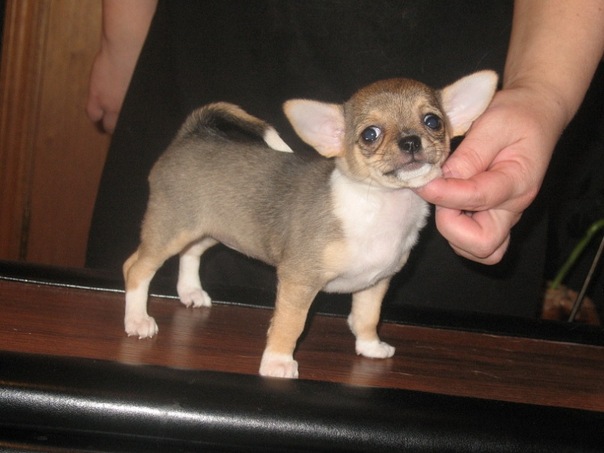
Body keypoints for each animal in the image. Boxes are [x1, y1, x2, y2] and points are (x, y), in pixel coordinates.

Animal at [123, 70, 497, 378]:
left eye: (433, 121)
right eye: (370, 134)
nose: (410, 141)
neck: (382, 207)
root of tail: (190, 136)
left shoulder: (376, 283)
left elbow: (367, 317)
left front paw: (369, 346)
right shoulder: (299, 281)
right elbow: (290, 325)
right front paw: (277, 362)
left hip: (210, 229)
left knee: (190, 253)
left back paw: (190, 292)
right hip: (171, 229)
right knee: (136, 268)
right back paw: (138, 320)